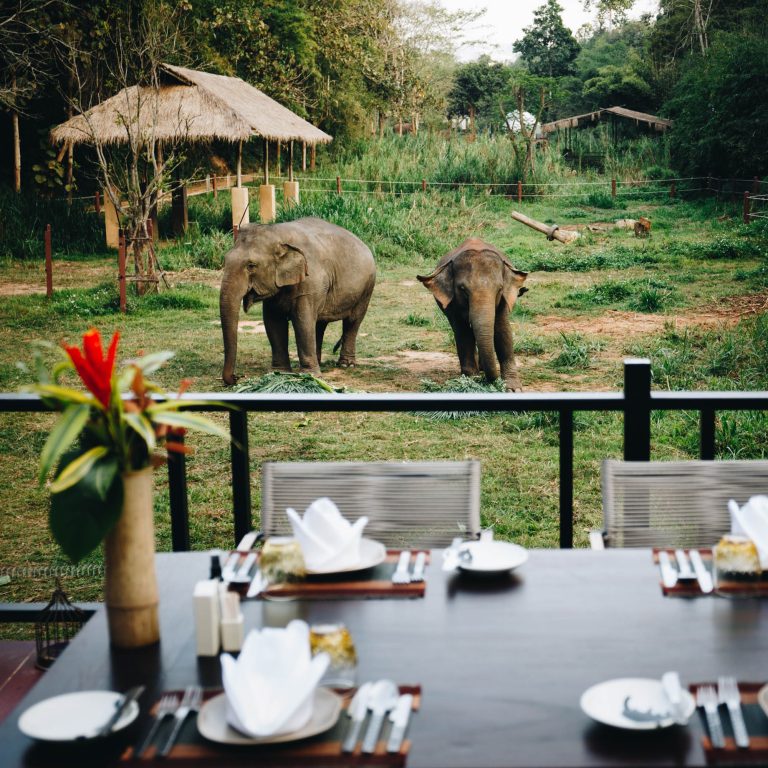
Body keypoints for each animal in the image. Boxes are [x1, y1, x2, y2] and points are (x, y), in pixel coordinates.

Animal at [220, 217, 376, 385]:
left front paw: (311, 376)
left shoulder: (309, 283)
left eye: (251, 265)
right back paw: (319, 361)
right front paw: (279, 373)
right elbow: (273, 323)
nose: (236, 377)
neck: (278, 233)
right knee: (319, 324)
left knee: (352, 321)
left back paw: (346, 365)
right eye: (225, 260)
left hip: (366, 288)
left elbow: (302, 322)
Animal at [417, 238, 528, 391]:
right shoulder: (452, 303)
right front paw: (472, 382)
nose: (493, 381)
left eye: (499, 289)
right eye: (462, 289)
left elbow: (502, 330)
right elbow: (462, 332)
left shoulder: (505, 299)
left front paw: (513, 389)